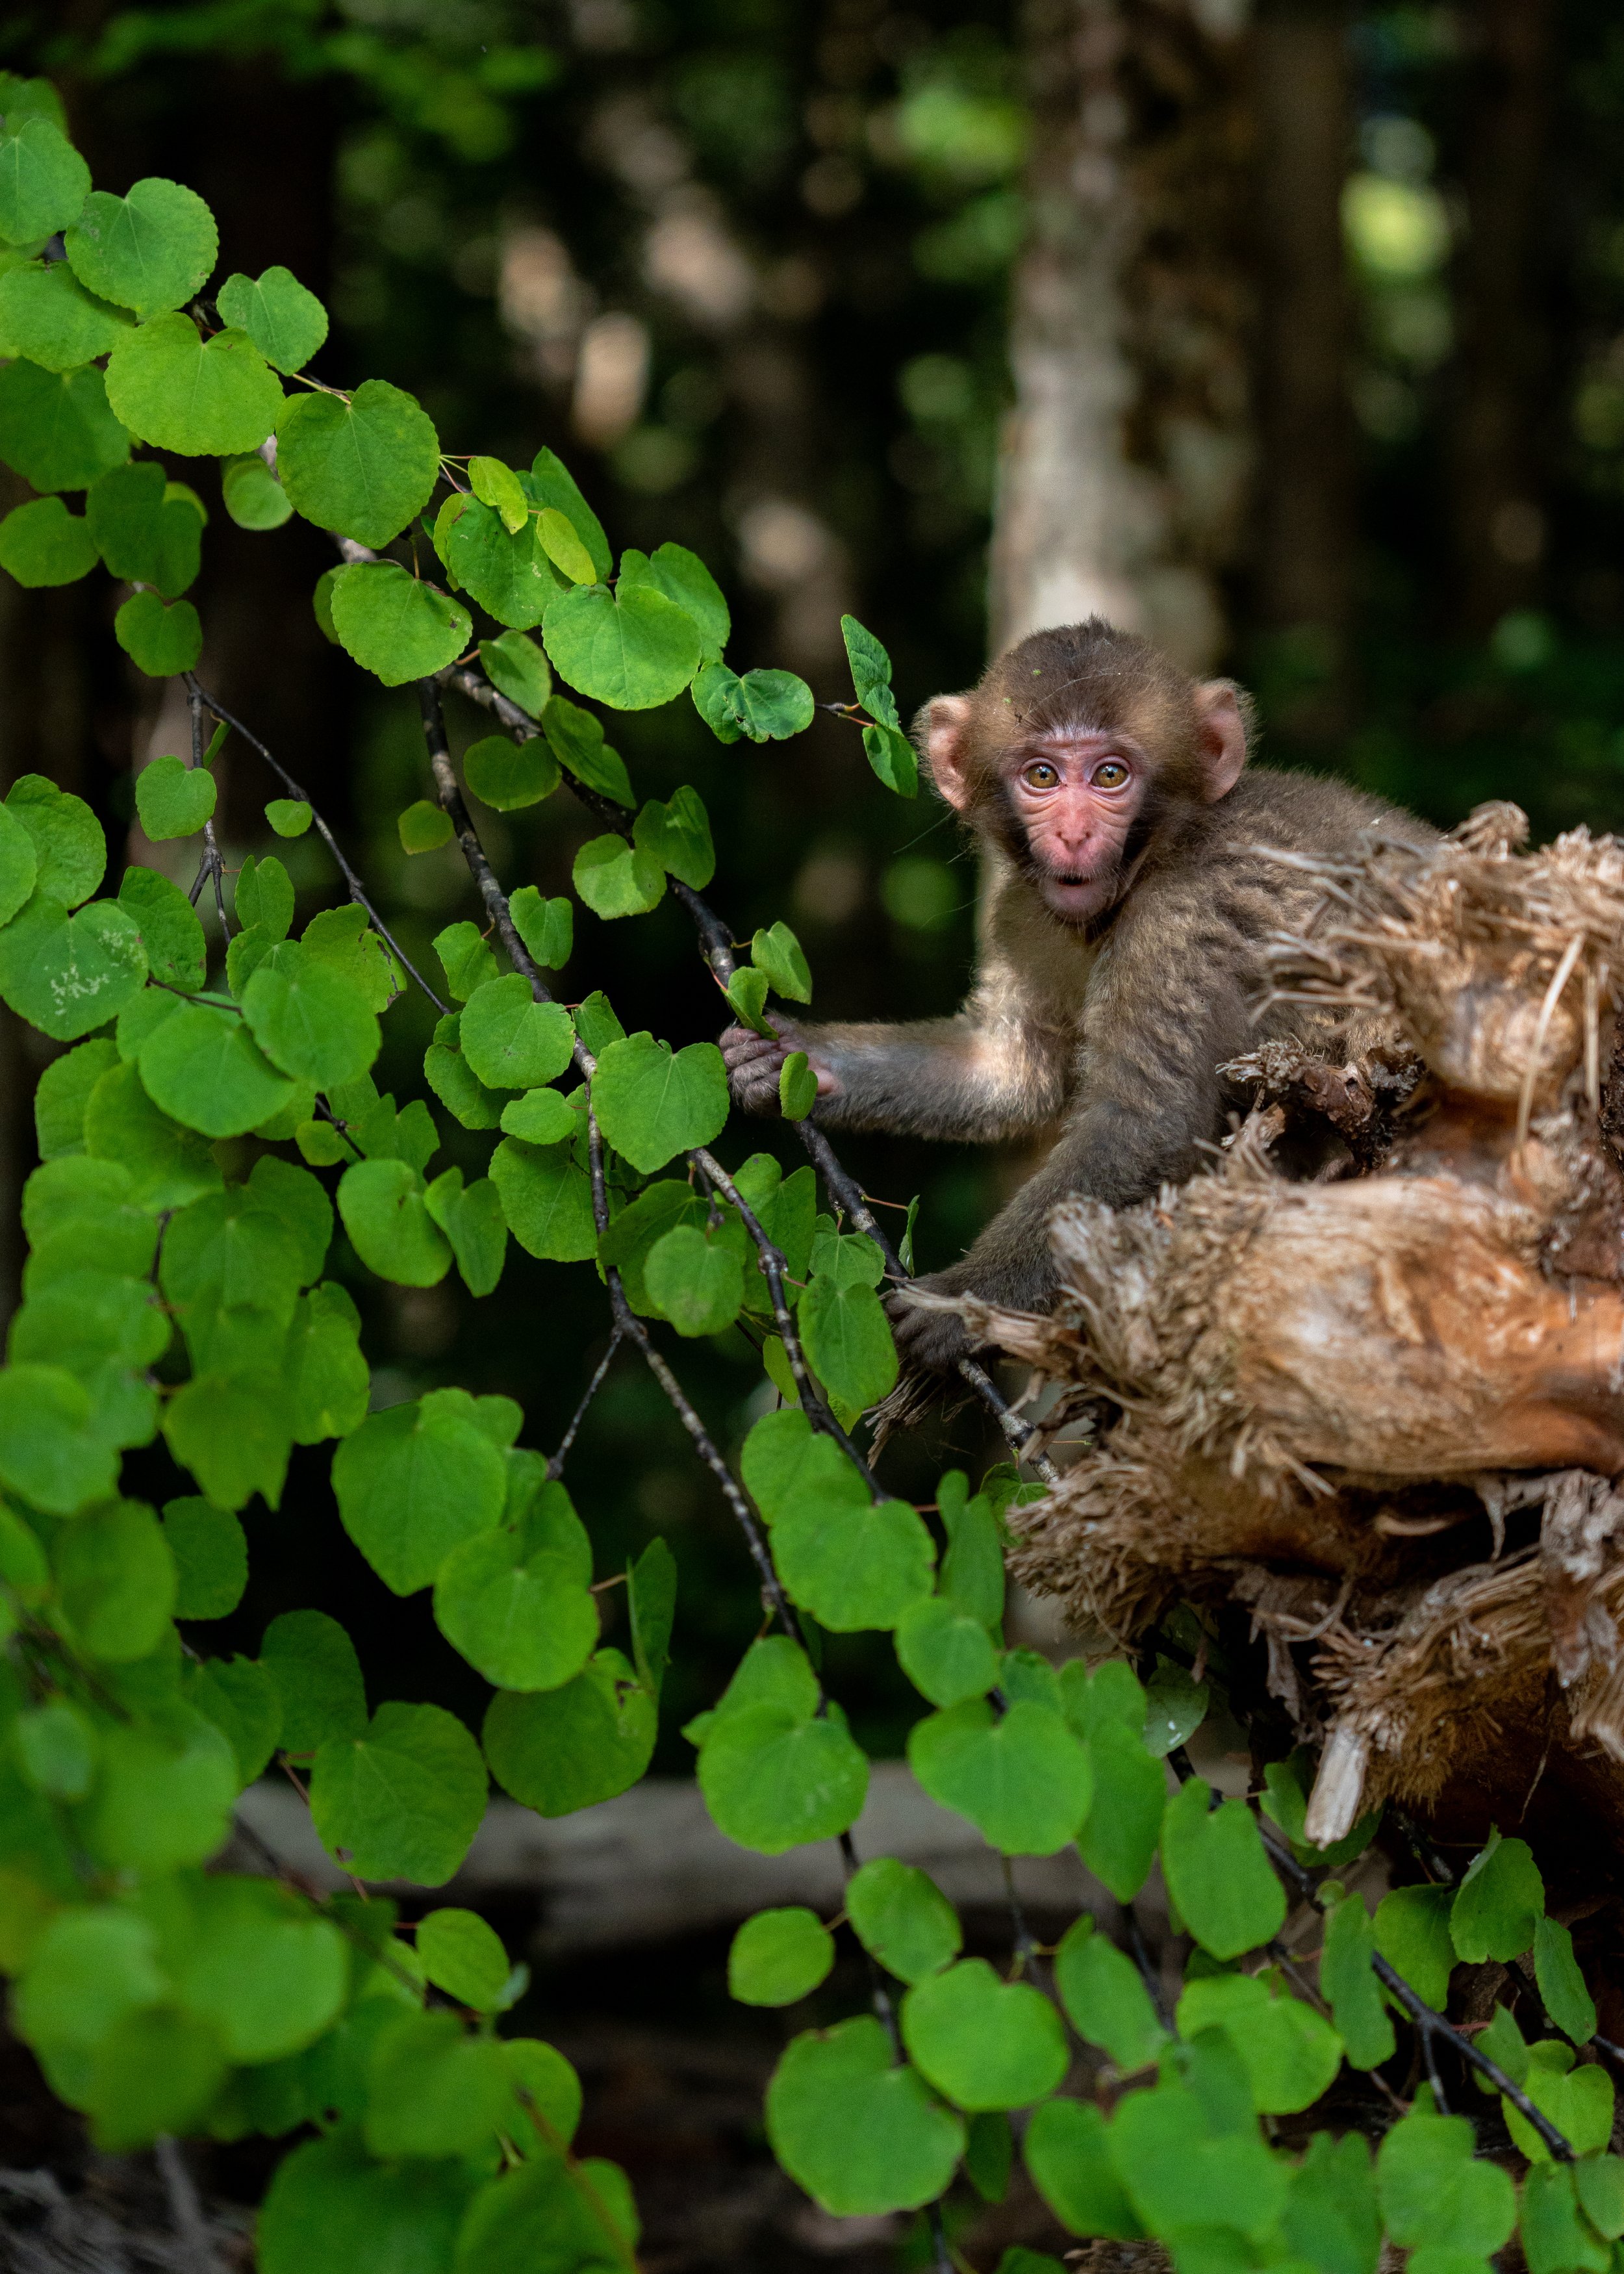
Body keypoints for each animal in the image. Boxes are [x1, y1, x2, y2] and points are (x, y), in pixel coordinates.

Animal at [722, 618, 1437, 1380]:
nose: (1071, 833)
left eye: (1110, 775)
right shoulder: (1023, 912)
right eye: (1042, 776)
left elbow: (1139, 1125)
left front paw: (959, 1302)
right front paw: (791, 1058)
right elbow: (1010, 1073)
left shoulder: (1181, 918)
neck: (1152, 859)